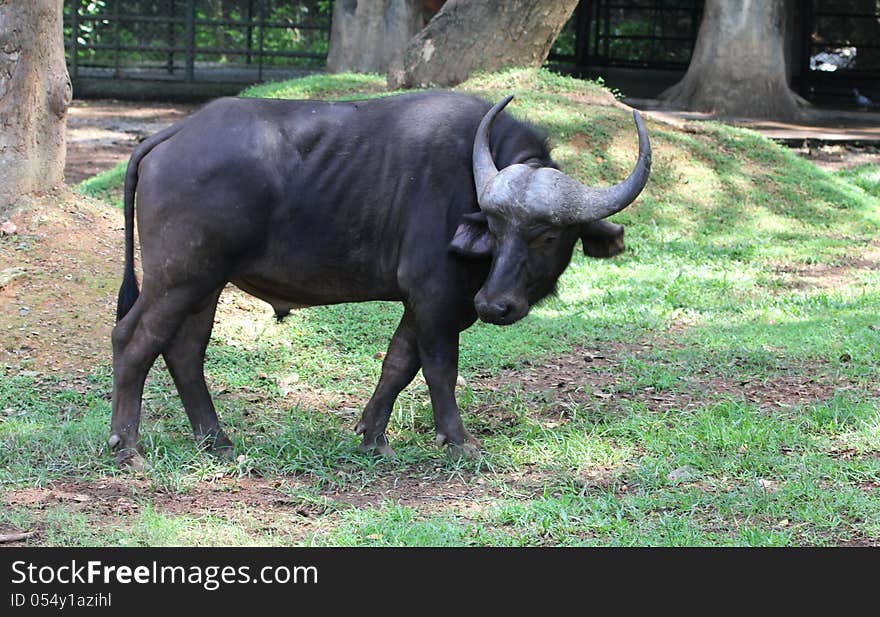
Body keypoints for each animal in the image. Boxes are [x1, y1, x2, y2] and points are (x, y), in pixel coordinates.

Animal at [108, 90, 648, 466]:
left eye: (548, 235)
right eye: (496, 228)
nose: (494, 305)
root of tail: (171, 136)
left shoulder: (424, 302)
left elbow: (398, 365)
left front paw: (372, 437)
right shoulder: (435, 297)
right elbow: (439, 368)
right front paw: (458, 441)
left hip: (205, 285)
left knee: (184, 351)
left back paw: (215, 440)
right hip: (178, 278)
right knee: (132, 339)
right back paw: (127, 445)